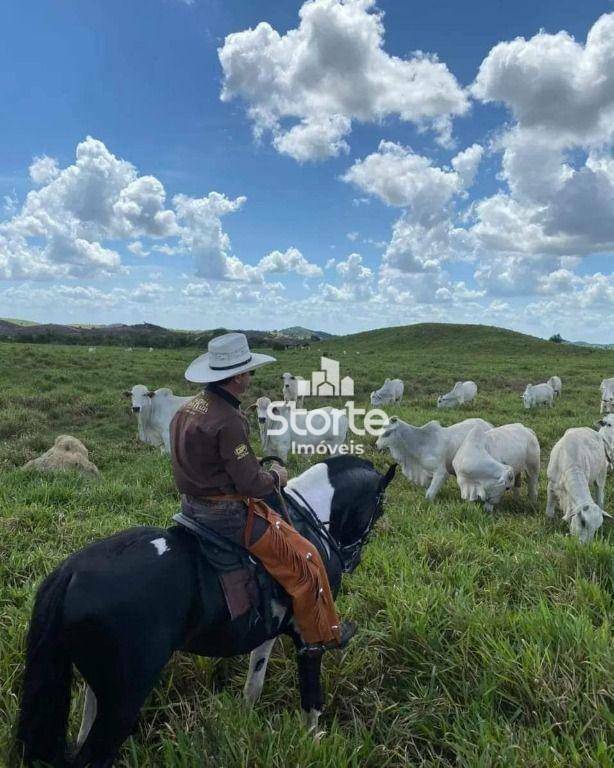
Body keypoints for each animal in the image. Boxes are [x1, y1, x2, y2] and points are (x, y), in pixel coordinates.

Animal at [16, 460, 400, 764]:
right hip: (123, 701)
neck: (308, 524)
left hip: (99, 689)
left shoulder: (270, 631)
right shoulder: (309, 639)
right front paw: (314, 743)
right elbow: (311, 701)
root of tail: (70, 572)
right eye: (379, 509)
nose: (352, 559)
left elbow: (255, 681)